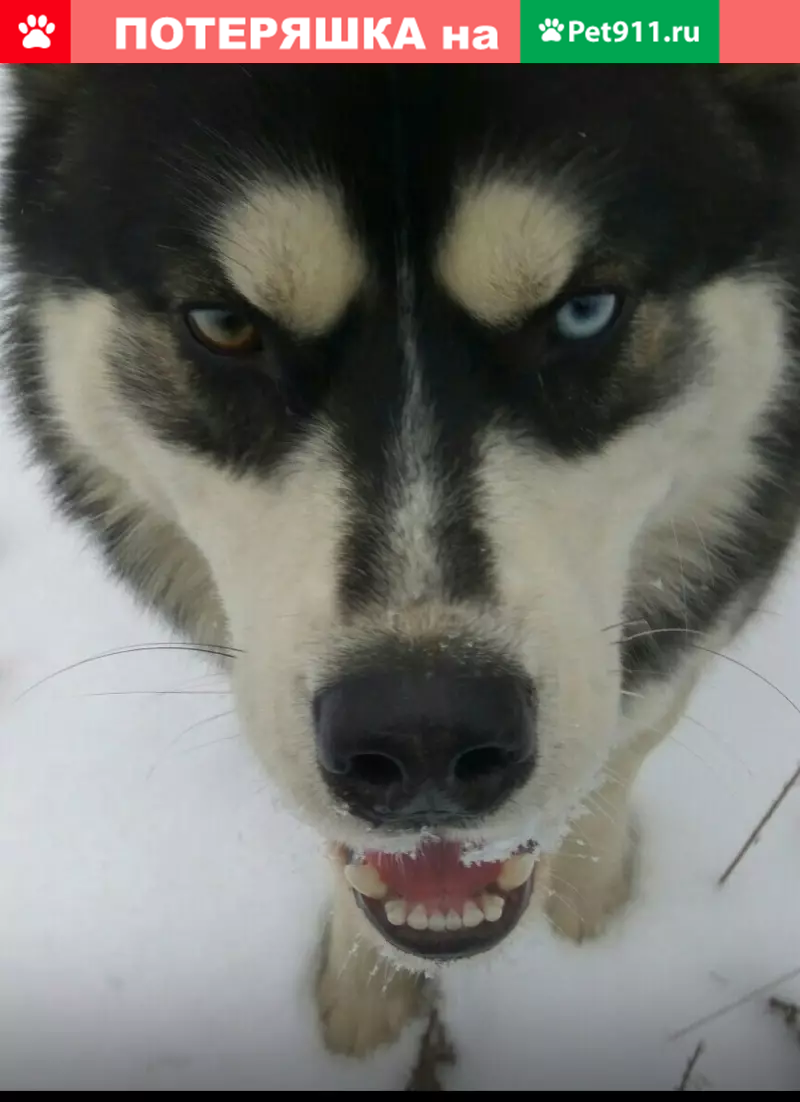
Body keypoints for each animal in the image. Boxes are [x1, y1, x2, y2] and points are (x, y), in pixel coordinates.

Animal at [3, 63, 800, 1057]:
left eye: (584, 313)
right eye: (223, 323)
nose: (425, 736)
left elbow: (632, 732)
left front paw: (589, 898)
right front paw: (368, 990)